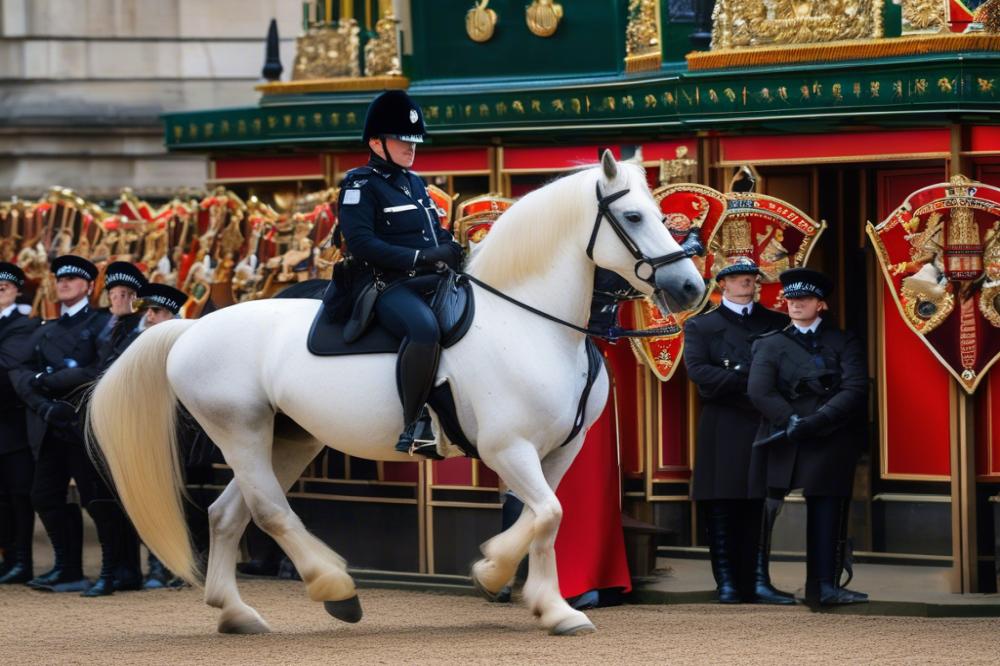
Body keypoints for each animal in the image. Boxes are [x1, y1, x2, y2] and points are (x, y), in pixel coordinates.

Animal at [87, 151, 706, 637]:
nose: (689, 287)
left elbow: (545, 519)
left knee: (226, 513)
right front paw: (501, 577)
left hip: (289, 439)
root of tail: (192, 328)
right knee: (270, 511)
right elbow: (547, 515)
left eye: (661, 214)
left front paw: (544, 602)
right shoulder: (507, 448)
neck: (532, 324)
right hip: (240, 430)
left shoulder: (558, 450)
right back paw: (336, 589)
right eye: (632, 216)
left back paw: (237, 612)